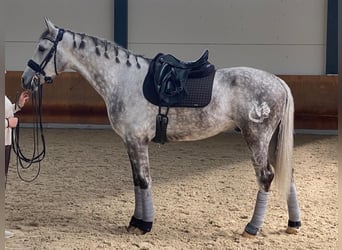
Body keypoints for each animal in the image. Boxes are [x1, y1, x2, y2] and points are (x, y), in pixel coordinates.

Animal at [20, 18, 300, 237]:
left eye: (42, 48)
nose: (25, 79)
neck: (123, 79)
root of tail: (278, 82)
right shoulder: (131, 141)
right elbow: (137, 181)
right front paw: (136, 221)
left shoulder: (136, 140)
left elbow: (144, 180)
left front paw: (144, 224)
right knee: (287, 174)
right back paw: (293, 224)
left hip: (256, 138)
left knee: (266, 177)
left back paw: (252, 228)